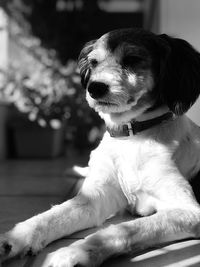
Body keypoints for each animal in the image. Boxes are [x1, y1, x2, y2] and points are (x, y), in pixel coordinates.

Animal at [0, 28, 200, 266]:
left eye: (132, 59)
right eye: (94, 63)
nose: (94, 88)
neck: (131, 139)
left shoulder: (187, 210)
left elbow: (123, 229)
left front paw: (74, 253)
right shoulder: (94, 198)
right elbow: (50, 217)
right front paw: (14, 239)